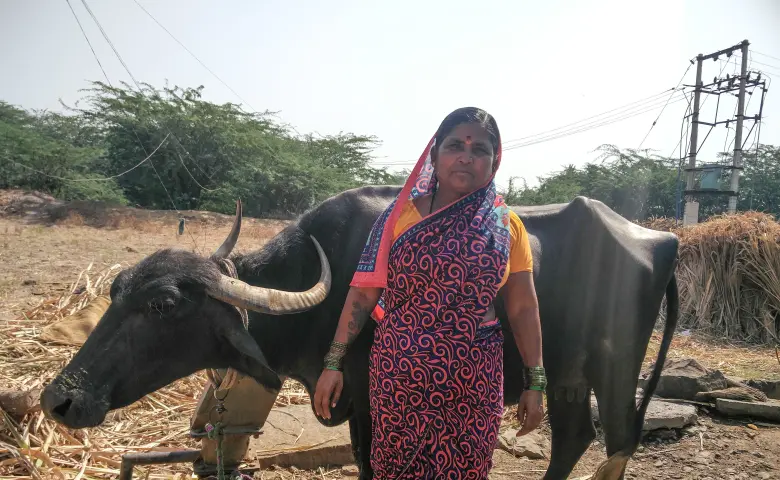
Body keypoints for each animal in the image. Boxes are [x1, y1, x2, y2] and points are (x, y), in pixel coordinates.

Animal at [40, 185, 679, 480]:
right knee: (575, 435)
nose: (59, 399)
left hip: (615, 371)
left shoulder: (375, 403)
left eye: (164, 304)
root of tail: (661, 240)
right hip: (567, 376)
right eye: (116, 289)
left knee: (618, 437)